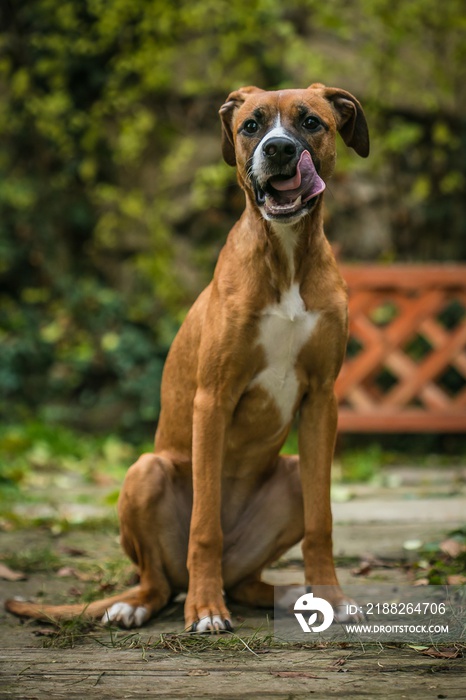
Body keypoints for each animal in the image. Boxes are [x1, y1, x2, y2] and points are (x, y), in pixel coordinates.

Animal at [4, 83, 368, 636]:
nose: (280, 150)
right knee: (157, 581)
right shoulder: (212, 399)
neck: (285, 257)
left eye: (311, 122)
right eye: (251, 125)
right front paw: (206, 610)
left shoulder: (322, 400)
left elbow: (321, 520)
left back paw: (287, 595)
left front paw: (332, 597)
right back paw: (141, 605)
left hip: (287, 477)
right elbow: (204, 525)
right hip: (146, 473)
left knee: (247, 578)